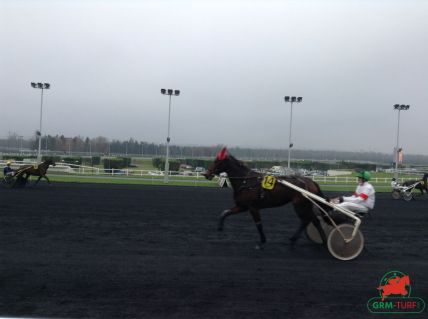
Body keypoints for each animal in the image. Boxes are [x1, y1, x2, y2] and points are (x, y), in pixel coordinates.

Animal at [204, 148, 332, 250]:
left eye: (217, 161)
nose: (206, 174)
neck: (246, 182)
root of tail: (311, 182)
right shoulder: (242, 206)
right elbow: (225, 213)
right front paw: (220, 227)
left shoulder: (253, 208)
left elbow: (259, 225)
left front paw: (262, 242)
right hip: (305, 205)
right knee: (314, 220)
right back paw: (323, 241)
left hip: (300, 205)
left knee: (307, 220)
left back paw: (295, 240)